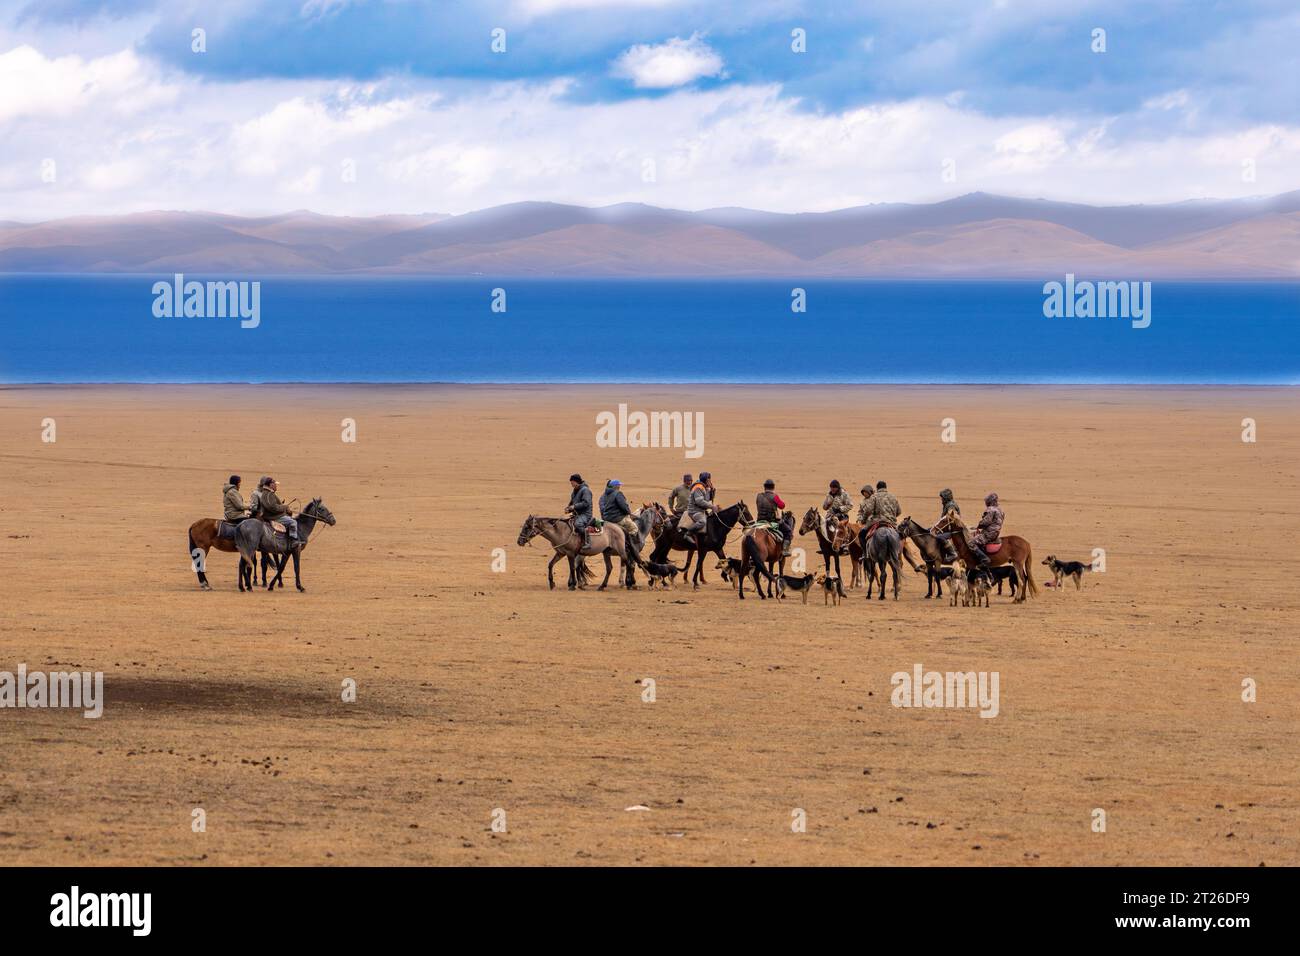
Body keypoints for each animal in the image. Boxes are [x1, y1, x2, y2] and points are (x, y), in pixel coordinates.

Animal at [512, 515, 644, 590]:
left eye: (527, 527)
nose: (519, 541)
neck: (561, 531)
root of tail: (620, 528)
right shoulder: (560, 553)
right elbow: (550, 565)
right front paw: (552, 583)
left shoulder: (570, 554)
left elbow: (572, 567)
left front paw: (572, 584)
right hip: (606, 552)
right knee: (610, 568)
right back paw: (602, 586)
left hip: (621, 551)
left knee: (629, 564)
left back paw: (631, 584)